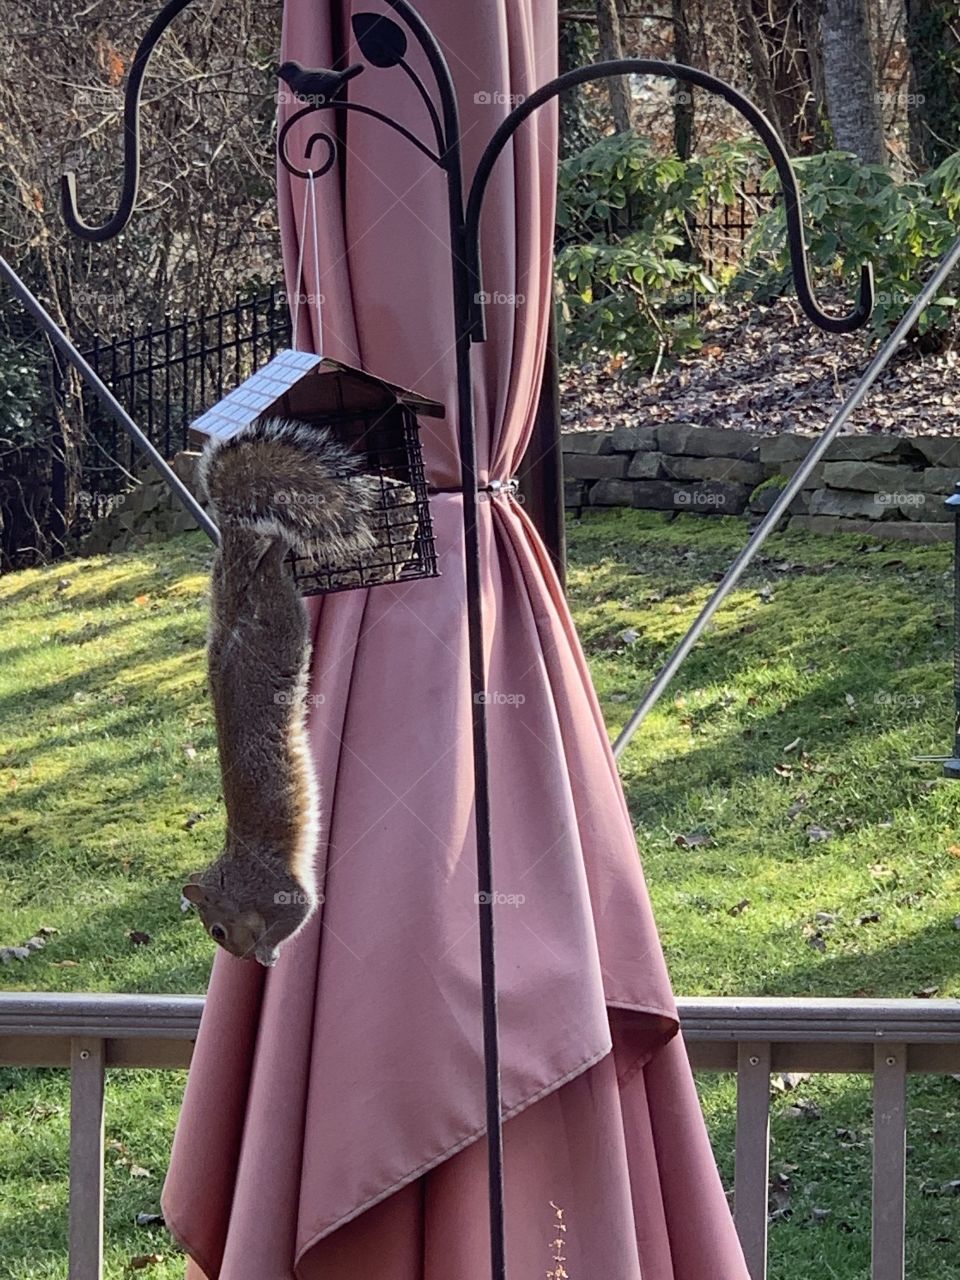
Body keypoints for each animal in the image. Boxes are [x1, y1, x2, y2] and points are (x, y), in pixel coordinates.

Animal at [182, 417, 378, 966]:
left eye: (216, 931)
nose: (239, 959)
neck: (238, 881)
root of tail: (230, 631)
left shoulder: (280, 890)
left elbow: (299, 911)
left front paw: (269, 951)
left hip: (280, 625)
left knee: (270, 566)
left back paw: (277, 550)